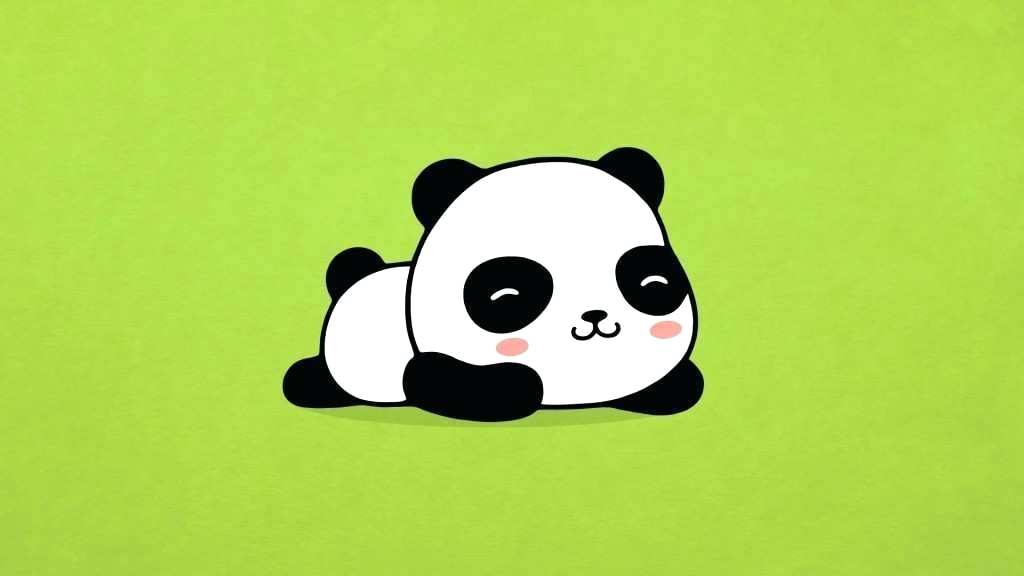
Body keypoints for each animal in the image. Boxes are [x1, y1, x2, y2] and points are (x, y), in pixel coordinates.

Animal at [283, 147, 702, 422]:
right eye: (507, 298)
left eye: (652, 284)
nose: (595, 315)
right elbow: (438, 379)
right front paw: (518, 382)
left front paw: (671, 387)